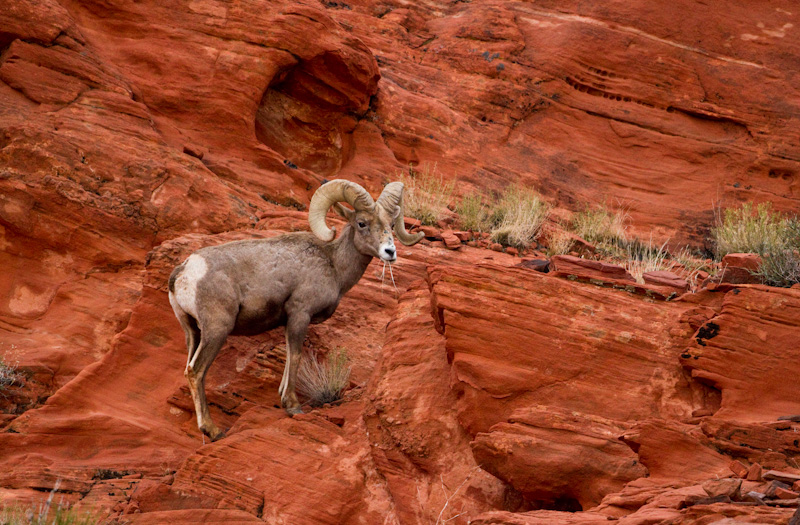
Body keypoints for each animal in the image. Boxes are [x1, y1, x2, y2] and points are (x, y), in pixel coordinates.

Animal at [166, 179, 422, 438]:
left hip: (193, 332)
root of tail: (184, 271)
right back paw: (213, 430)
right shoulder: (300, 314)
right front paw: (293, 406)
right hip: (217, 330)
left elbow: (288, 356)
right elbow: (297, 356)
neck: (333, 264)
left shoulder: (289, 321)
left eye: (391, 224)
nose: (390, 252)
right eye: (362, 223)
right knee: (196, 371)